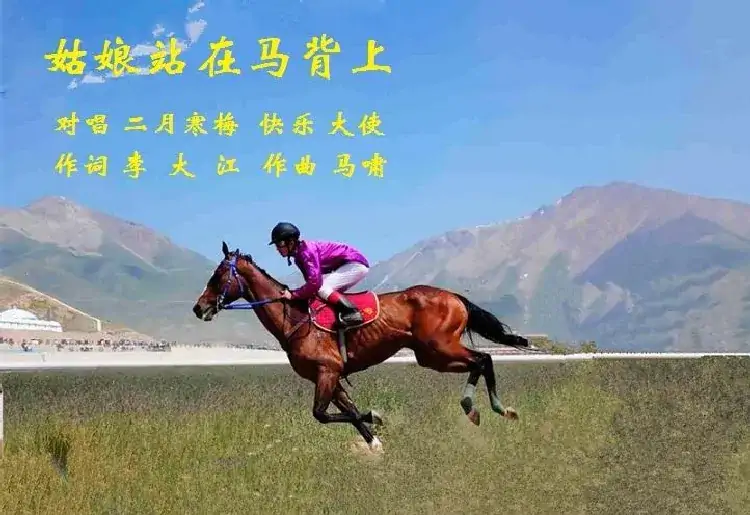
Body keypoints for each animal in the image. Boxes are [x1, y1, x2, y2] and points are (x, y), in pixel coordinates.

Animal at [192, 242, 530, 452]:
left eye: (217, 275)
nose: (199, 308)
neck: (294, 318)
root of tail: (453, 296)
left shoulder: (327, 371)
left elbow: (321, 414)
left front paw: (377, 418)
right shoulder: (327, 376)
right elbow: (349, 411)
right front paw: (375, 443)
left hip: (440, 347)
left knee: (483, 358)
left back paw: (495, 408)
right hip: (430, 356)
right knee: (479, 361)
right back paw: (476, 409)